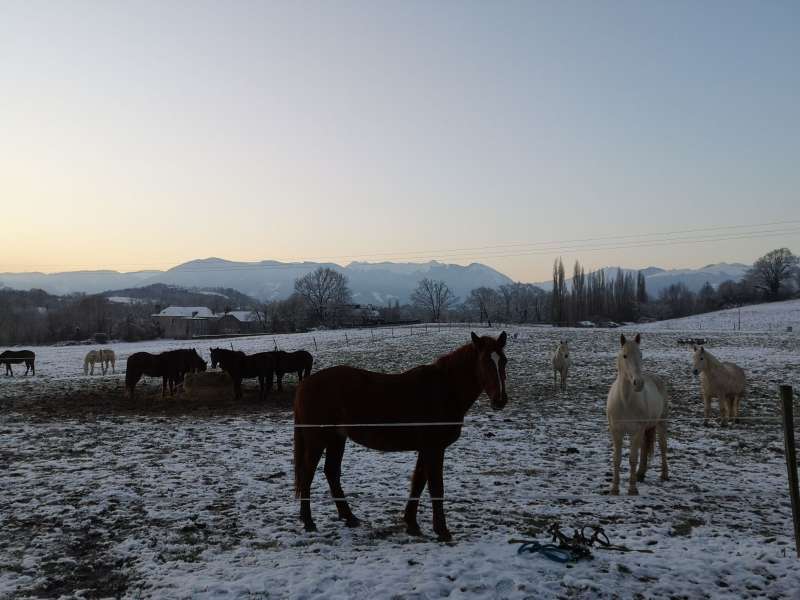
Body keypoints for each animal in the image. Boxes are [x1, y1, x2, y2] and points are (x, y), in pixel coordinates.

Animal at [293, 331, 509, 541]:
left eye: (504, 361)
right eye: (485, 361)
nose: (500, 400)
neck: (445, 390)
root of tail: (305, 384)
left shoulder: (426, 449)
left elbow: (418, 482)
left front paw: (411, 524)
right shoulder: (434, 448)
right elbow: (436, 488)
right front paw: (442, 531)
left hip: (337, 439)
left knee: (331, 472)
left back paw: (349, 517)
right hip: (317, 440)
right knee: (307, 474)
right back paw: (309, 522)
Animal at [606, 334, 669, 496]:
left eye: (641, 355)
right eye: (625, 355)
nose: (638, 383)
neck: (625, 401)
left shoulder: (636, 431)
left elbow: (632, 458)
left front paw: (632, 489)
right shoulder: (616, 431)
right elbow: (617, 459)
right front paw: (614, 488)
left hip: (660, 423)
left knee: (663, 447)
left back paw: (664, 475)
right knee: (644, 448)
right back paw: (640, 474)